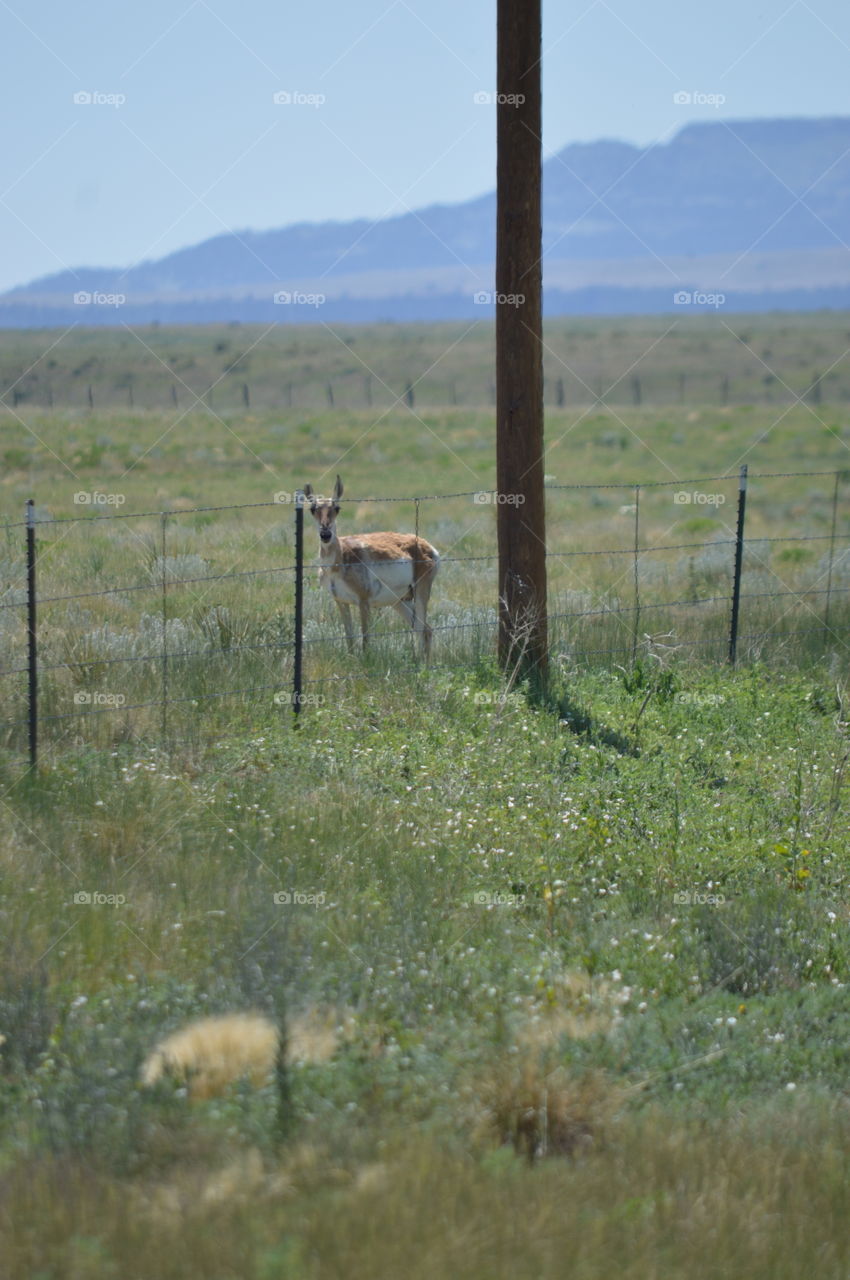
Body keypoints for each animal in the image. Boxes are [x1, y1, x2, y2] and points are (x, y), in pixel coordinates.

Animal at [303, 476, 440, 658]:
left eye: (337, 508)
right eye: (312, 509)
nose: (325, 535)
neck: (339, 561)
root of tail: (427, 546)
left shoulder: (363, 602)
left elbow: (365, 639)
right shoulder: (341, 601)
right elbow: (349, 637)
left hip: (420, 593)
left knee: (422, 630)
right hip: (399, 601)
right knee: (425, 630)